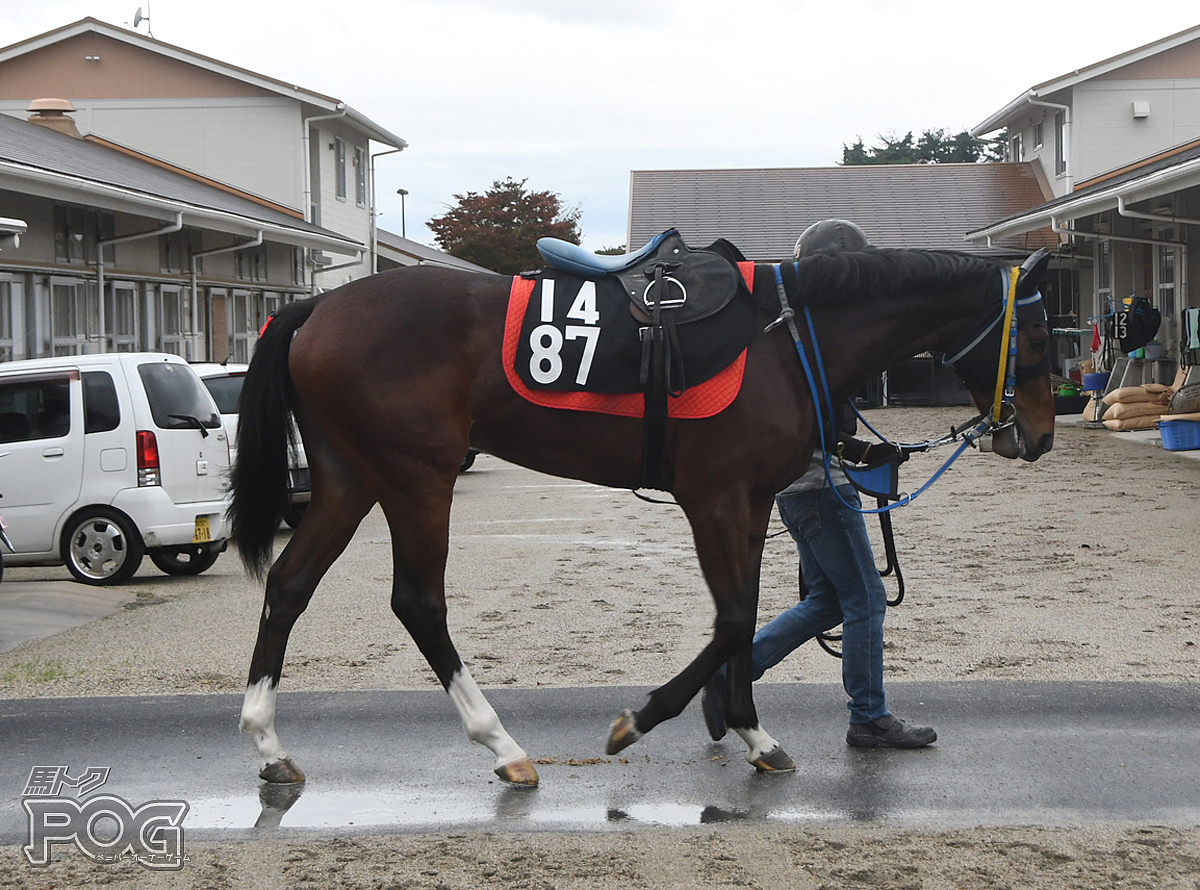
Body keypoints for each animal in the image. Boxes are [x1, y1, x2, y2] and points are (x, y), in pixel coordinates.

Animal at [226, 243, 1051, 786]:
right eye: (1042, 332)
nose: (1039, 433)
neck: (785, 337)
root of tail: (319, 306)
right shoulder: (713, 499)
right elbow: (731, 618)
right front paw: (643, 718)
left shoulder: (752, 502)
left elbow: (745, 616)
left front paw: (754, 734)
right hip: (416, 476)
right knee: (419, 603)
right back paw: (501, 745)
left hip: (348, 480)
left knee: (290, 586)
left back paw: (268, 743)